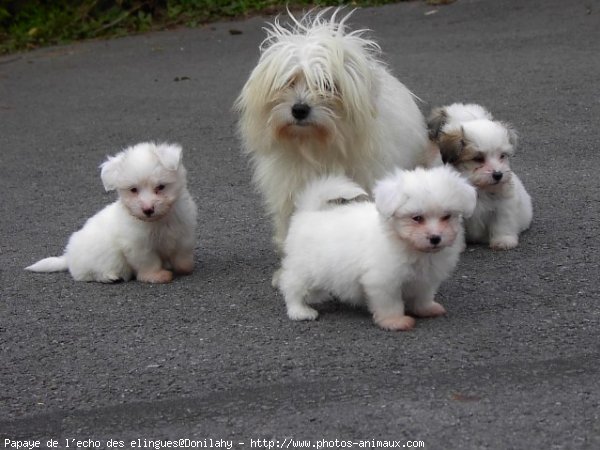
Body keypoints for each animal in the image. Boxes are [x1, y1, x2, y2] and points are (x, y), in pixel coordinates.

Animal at [278, 165, 478, 330]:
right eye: (417, 218)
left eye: (446, 216)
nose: (436, 238)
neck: (405, 243)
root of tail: (309, 212)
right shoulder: (383, 280)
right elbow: (390, 303)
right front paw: (395, 321)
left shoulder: (426, 278)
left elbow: (423, 295)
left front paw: (426, 309)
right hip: (304, 267)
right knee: (291, 285)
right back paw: (299, 310)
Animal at [428, 102, 532, 250]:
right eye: (478, 158)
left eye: (502, 156)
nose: (498, 174)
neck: (476, 186)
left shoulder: (503, 203)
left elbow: (502, 222)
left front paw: (503, 240)